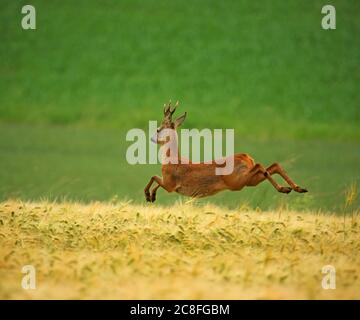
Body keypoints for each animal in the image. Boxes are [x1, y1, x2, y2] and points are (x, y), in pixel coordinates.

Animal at [145, 101, 308, 202]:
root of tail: (246, 157)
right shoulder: (168, 183)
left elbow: (154, 177)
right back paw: (295, 188)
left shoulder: (170, 184)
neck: (172, 159)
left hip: (238, 180)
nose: (152, 138)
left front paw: (148, 195)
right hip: (248, 181)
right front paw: (152, 196)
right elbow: (155, 179)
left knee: (261, 166)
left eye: (158, 129)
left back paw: (285, 188)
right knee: (273, 166)